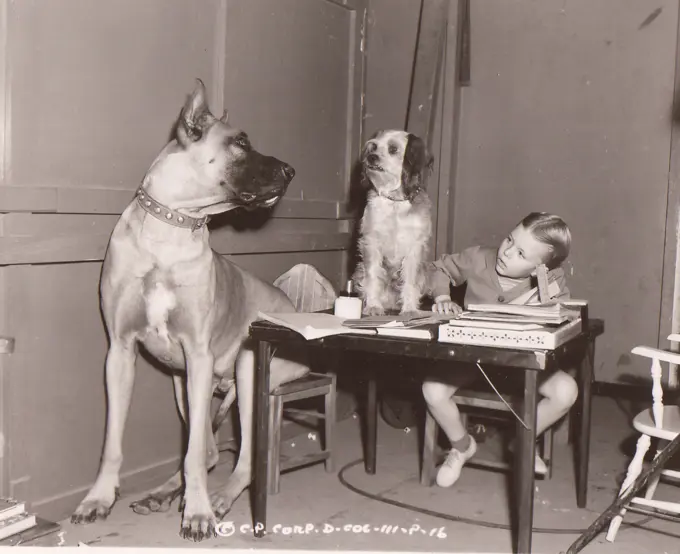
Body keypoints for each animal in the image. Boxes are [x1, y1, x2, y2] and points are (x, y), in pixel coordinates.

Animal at [71, 81, 310, 540]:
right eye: (240, 142)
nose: (292, 171)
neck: (173, 225)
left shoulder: (198, 355)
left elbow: (195, 452)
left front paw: (197, 513)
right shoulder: (121, 353)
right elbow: (113, 442)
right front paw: (99, 498)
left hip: (247, 370)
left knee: (241, 457)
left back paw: (216, 500)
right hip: (182, 382)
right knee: (212, 450)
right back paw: (163, 492)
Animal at [354, 126, 432, 312]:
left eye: (393, 149)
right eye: (373, 147)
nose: (371, 157)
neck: (395, 203)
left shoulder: (415, 248)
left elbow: (410, 281)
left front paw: (410, 309)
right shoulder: (371, 243)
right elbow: (373, 276)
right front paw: (373, 306)